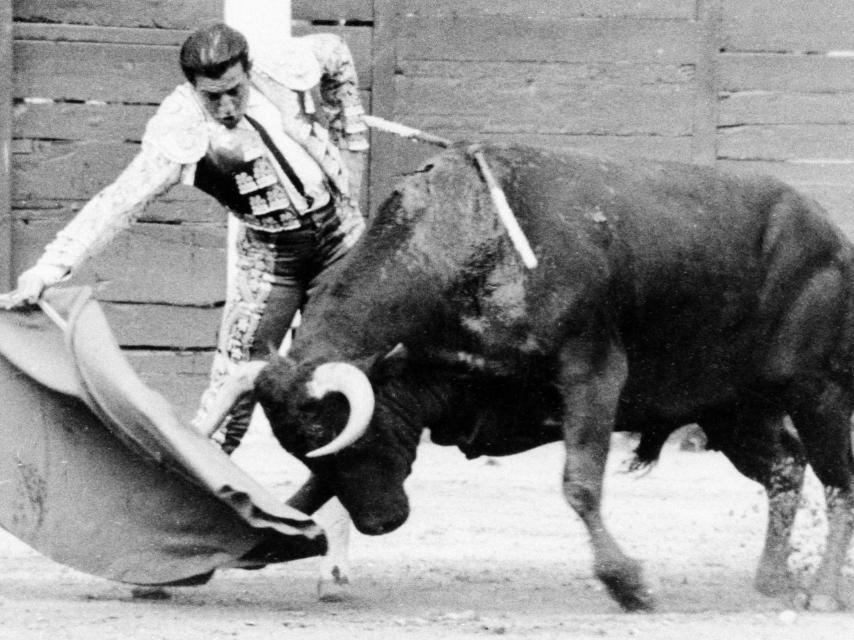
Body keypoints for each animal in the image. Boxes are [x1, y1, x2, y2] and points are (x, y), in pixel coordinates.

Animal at [202, 144, 854, 608]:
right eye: (306, 449)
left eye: (349, 440)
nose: (382, 523)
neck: (465, 244)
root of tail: (832, 236)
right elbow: (308, 492)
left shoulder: (592, 373)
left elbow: (580, 484)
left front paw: (629, 585)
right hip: (735, 409)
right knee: (785, 468)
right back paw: (771, 581)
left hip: (817, 390)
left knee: (837, 479)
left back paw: (823, 593)